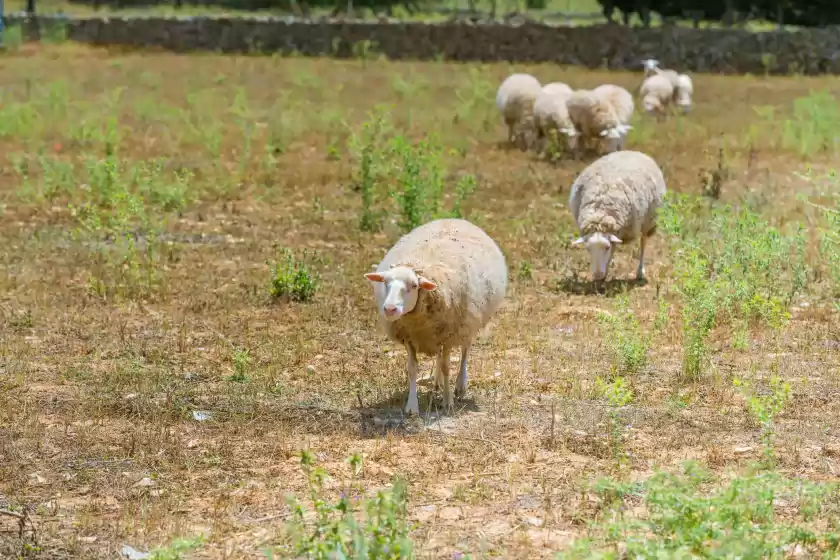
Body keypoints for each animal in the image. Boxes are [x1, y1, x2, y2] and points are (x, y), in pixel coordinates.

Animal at [360, 219, 506, 416]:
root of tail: (453, 219)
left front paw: (448, 402)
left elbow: (447, 367)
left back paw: (460, 385)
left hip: (468, 324)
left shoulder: (449, 335)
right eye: (385, 283)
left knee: (465, 351)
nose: (390, 309)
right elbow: (412, 369)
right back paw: (437, 382)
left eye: (414, 285)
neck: (418, 325)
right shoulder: (410, 337)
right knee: (439, 356)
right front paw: (412, 406)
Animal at [568, 149, 668, 282]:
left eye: (607, 247)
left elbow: (612, 251)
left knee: (643, 241)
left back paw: (640, 272)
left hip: (649, 220)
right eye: (588, 249)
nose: (597, 275)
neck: (600, 212)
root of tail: (633, 151)